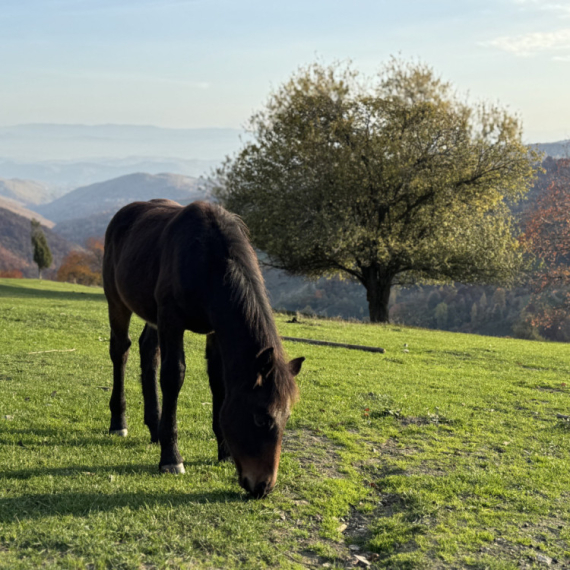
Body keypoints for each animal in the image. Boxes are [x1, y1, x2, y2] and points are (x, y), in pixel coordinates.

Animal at [103, 197, 304, 494]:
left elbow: (218, 383)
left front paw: (224, 452)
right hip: (117, 301)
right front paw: (171, 458)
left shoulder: (214, 330)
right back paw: (119, 422)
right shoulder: (172, 320)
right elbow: (173, 376)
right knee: (120, 351)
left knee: (148, 351)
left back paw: (154, 426)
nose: (263, 487)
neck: (208, 263)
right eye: (261, 417)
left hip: (153, 316)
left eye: (286, 418)